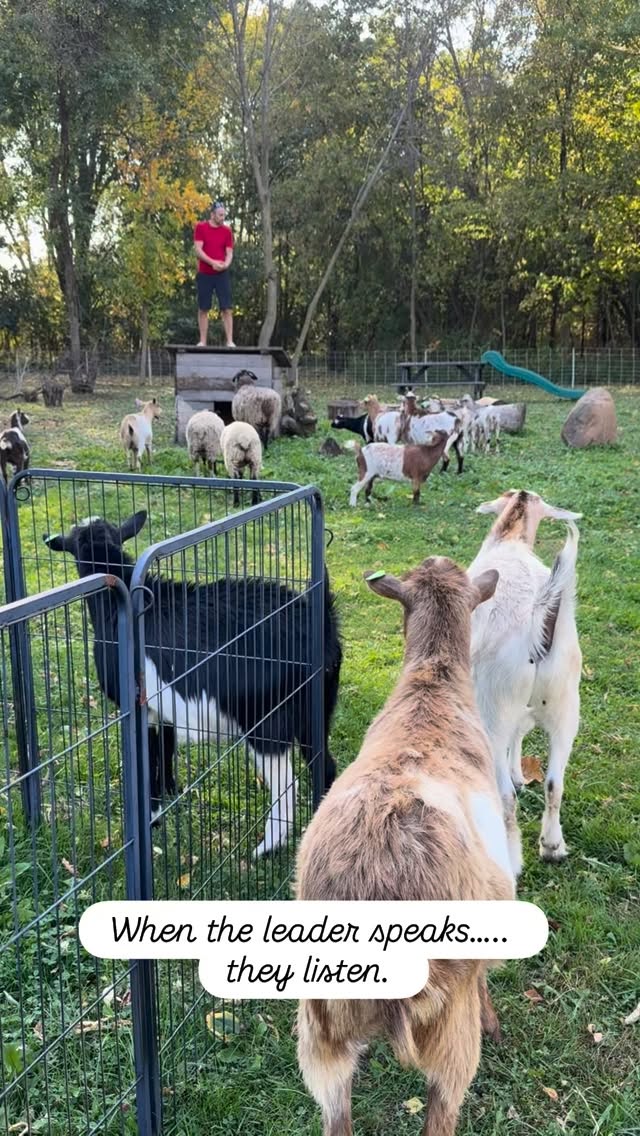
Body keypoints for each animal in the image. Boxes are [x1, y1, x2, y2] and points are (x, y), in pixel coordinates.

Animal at [43, 511, 343, 858]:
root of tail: (322, 624)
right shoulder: (161, 707)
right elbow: (165, 748)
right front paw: (171, 794)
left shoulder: (138, 709)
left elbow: (148, 762)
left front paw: (152, 816)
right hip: (317, 709)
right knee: (325, 767)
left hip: (267, 722)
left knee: (286, 785)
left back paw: (265, 848)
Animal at [468, 489, 582, 869]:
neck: (509, 541)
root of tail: (536, 622)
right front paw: (520, 773)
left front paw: (515, 775)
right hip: (566, 704)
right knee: (554, 783)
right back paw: (552, 846)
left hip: (494, 705)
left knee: (505, 796)